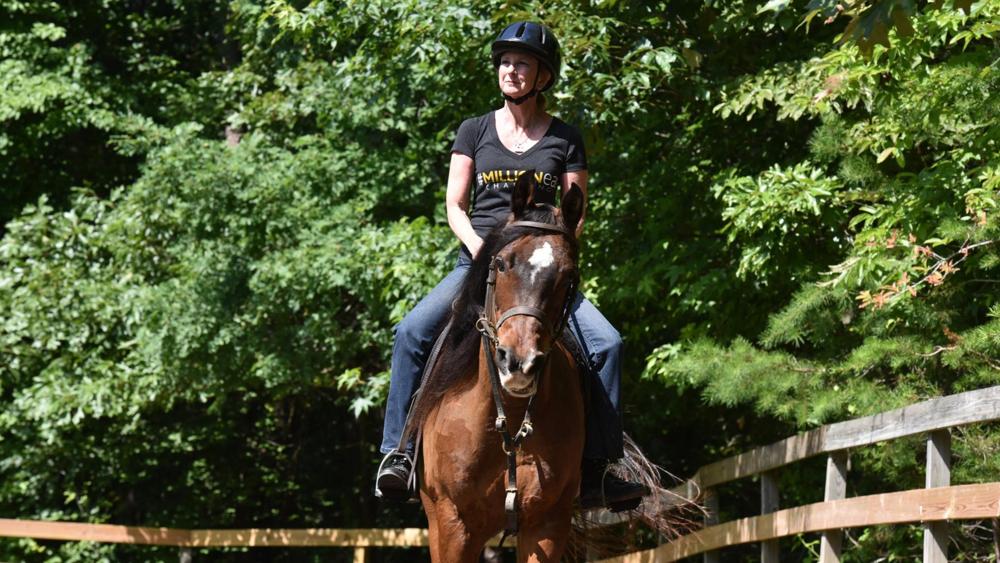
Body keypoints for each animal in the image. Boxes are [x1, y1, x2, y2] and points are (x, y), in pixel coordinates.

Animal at [402, 170, 587, 562]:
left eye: (568, 277)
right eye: (502, 264)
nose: (519, 362)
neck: (509, 418)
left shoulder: (548, 524)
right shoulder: (451, 525)